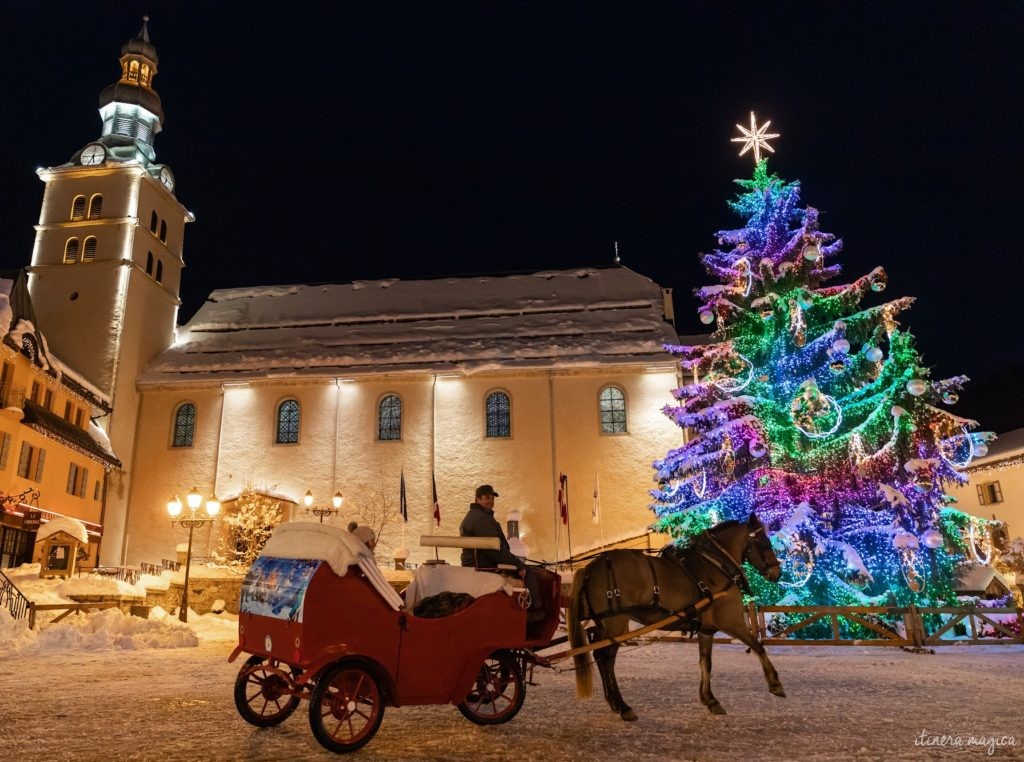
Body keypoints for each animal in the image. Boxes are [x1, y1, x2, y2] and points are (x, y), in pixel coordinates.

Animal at [569, 512, 782, 721]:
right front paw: (775, 683)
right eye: (764, 542)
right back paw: (622, 706)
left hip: (606, 624)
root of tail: (590, 567)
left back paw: (614, 702)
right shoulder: (731, 621)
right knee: (605, 658)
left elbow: (706, 662)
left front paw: (710, 699)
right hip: (616, 622)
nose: (777, 573)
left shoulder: (706, 629)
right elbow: (758, 646)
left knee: (601, 656)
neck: (716, 564)